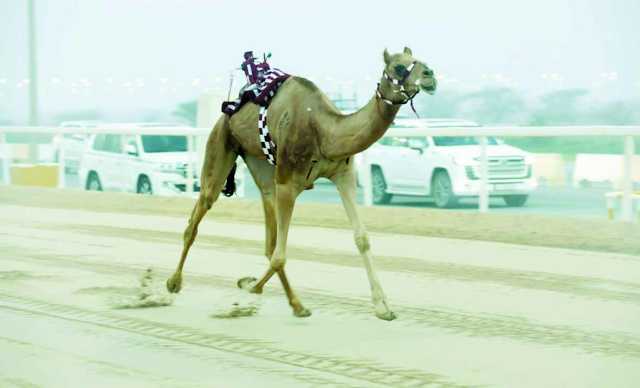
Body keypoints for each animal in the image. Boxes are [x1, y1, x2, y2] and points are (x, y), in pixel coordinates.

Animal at [165, 47, 438, 322]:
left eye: (420, 60)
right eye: (398, 67)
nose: (430, 75)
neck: (326, 132)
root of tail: (228, 112)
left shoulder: (344, 175)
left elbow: (361, 238)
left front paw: (383, 306)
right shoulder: (288, 183)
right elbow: (280, 256)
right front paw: (259, 290)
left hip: (262, 168)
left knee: (268, 237)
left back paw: (281, 297)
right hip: (221, 145)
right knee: (197, 218)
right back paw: (173, 283)